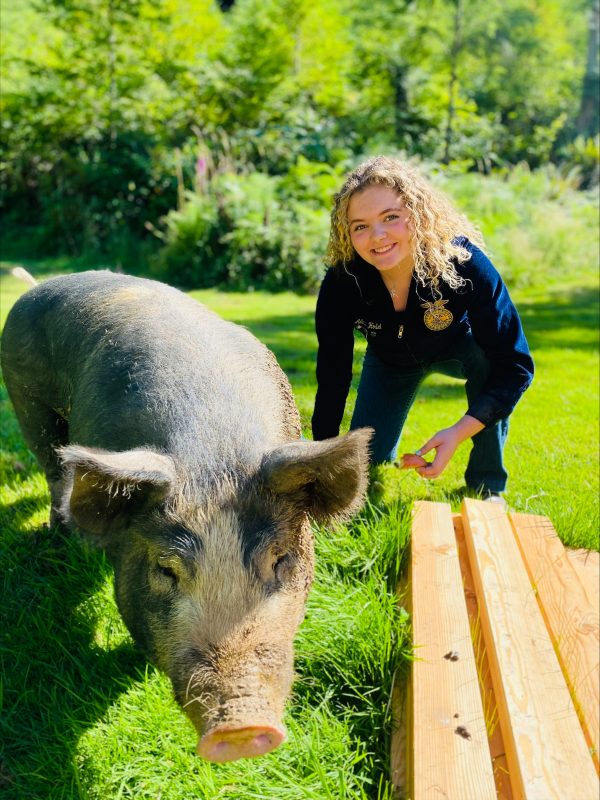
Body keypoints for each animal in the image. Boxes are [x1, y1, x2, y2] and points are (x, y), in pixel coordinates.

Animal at [1, 274, 370, 764]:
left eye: (280, 560)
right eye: (166, 569)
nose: (241, 726)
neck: (214, 456)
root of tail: (40, 284)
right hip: (26, 398)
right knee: (52, 470)